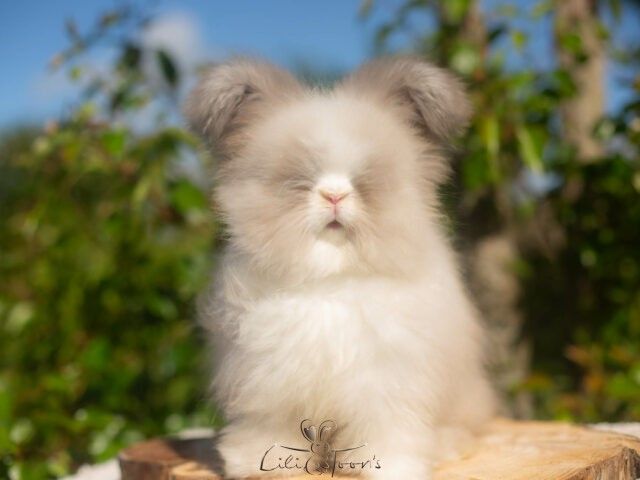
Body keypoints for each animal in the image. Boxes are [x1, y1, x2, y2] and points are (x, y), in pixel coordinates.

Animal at [185, 56, 497, 479]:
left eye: (366, 178)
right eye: (300, 178)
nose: (334, 195)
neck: (330, 279)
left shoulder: (388, 387)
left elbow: (388, 433)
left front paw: (391, 469)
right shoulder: (267, 386)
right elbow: (267, 430)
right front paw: (259, 466)